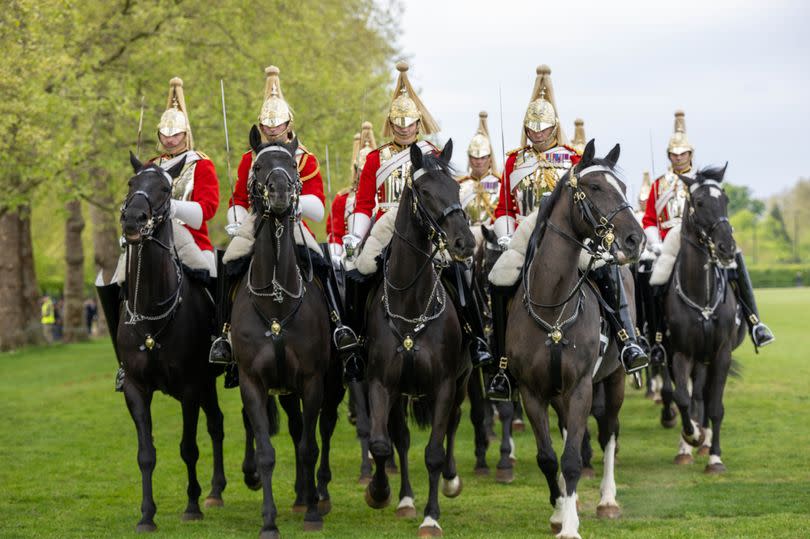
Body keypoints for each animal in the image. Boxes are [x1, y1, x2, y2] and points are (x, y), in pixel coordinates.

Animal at [117, 154, 226, 532]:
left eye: (165, 189)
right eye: (131, 183)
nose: (133, 219)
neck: (152, 310)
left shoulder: (190, 387)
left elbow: (188, 447)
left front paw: (191, 506)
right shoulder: (136, 388)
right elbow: (145, 454)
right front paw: (146, 515)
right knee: (217, 423)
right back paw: (216, 490)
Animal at [230, 129, 340, 536]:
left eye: (293, 164)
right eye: (259, 165)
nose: (278, 192)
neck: (277, 300)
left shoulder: (312, 381)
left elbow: (309, 445)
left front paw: (312, 513)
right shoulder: (253, 382)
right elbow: (266, 451)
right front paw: (269, 520)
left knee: (318, 431)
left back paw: (313, 495)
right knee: (293, 429)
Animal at [362, 141, 474, 536]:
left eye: (455, 188)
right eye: (425, 192)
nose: (465, 242)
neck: (410, 303)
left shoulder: (444, 385)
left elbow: (435, 452)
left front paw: (431, 517)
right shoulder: (381, 383)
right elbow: (383, 444)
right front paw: (380, 493)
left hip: (462, 382)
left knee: (453, 423)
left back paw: (452, 481)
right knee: (401, 437)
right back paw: (405, 499)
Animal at [504, 141, 636, 536]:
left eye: (624, 189)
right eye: (595, 188)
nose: (634, 239)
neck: (552, 307)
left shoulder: (580, 388)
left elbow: (574, 458)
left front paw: (571, 526)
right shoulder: (533, 393)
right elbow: (550, 457)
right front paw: (559, 510)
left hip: (614, 379)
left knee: (609, 432)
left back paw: (607, 500)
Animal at [652, 166, 740, 472]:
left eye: (725, 200)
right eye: (699, 202)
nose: (726, 247)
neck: (702, 295)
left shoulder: (721, 353)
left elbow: (715, 405)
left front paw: (714, 456)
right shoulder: (680, 352)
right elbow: (681, 397)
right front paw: (689, 437)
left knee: (703, 395)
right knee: (690, 395)